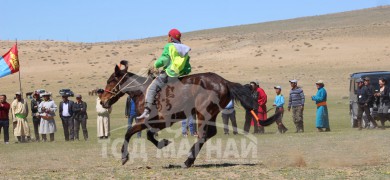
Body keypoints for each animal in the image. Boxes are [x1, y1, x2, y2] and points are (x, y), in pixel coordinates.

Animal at [99, 60, 278, 167]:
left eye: (110, 81)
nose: (102, 101)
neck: (143, 91)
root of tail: (225, 82)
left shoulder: (149, 120)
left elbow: (129, 133)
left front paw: (124, 157)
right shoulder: (158, 122)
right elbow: (149, 136)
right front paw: (163, 142)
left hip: (202, 113)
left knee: (203, 134)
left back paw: (188, 160)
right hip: (210, 114)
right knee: (210, 133)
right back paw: (189, 159)